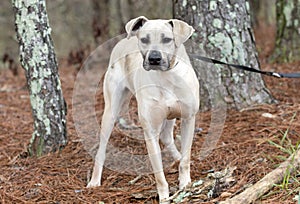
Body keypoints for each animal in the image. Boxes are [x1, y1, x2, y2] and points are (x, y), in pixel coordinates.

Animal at [86, 15, 199, 202]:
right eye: (144, 40)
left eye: (167, 39)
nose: (154, 59)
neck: (166, 76)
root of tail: (121, 42)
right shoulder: (150, 130)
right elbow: (159, 174)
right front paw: (164, 197)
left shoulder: (188, 118)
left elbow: (186, 158)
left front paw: (185, 183)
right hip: (110, 111)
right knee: (101, 148)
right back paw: (95, 180)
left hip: (170, 115)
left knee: (167, 137)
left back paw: (177, 156)